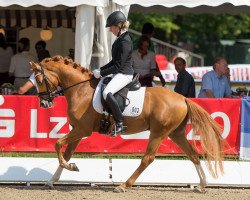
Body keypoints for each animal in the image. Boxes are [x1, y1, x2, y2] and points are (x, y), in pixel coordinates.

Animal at [29, 55, 225, 192]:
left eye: (38, 80)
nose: (44, 103)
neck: (81, 89)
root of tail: (183, 98)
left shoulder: (82, 130)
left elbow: (57, 144)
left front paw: (71, 167)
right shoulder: (76, 130)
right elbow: (66, 153)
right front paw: (52, 181)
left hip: (159, 132)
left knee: (147, 158)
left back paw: (123, 185)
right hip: (176, 133)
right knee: (193, 154)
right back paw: (202, 185)